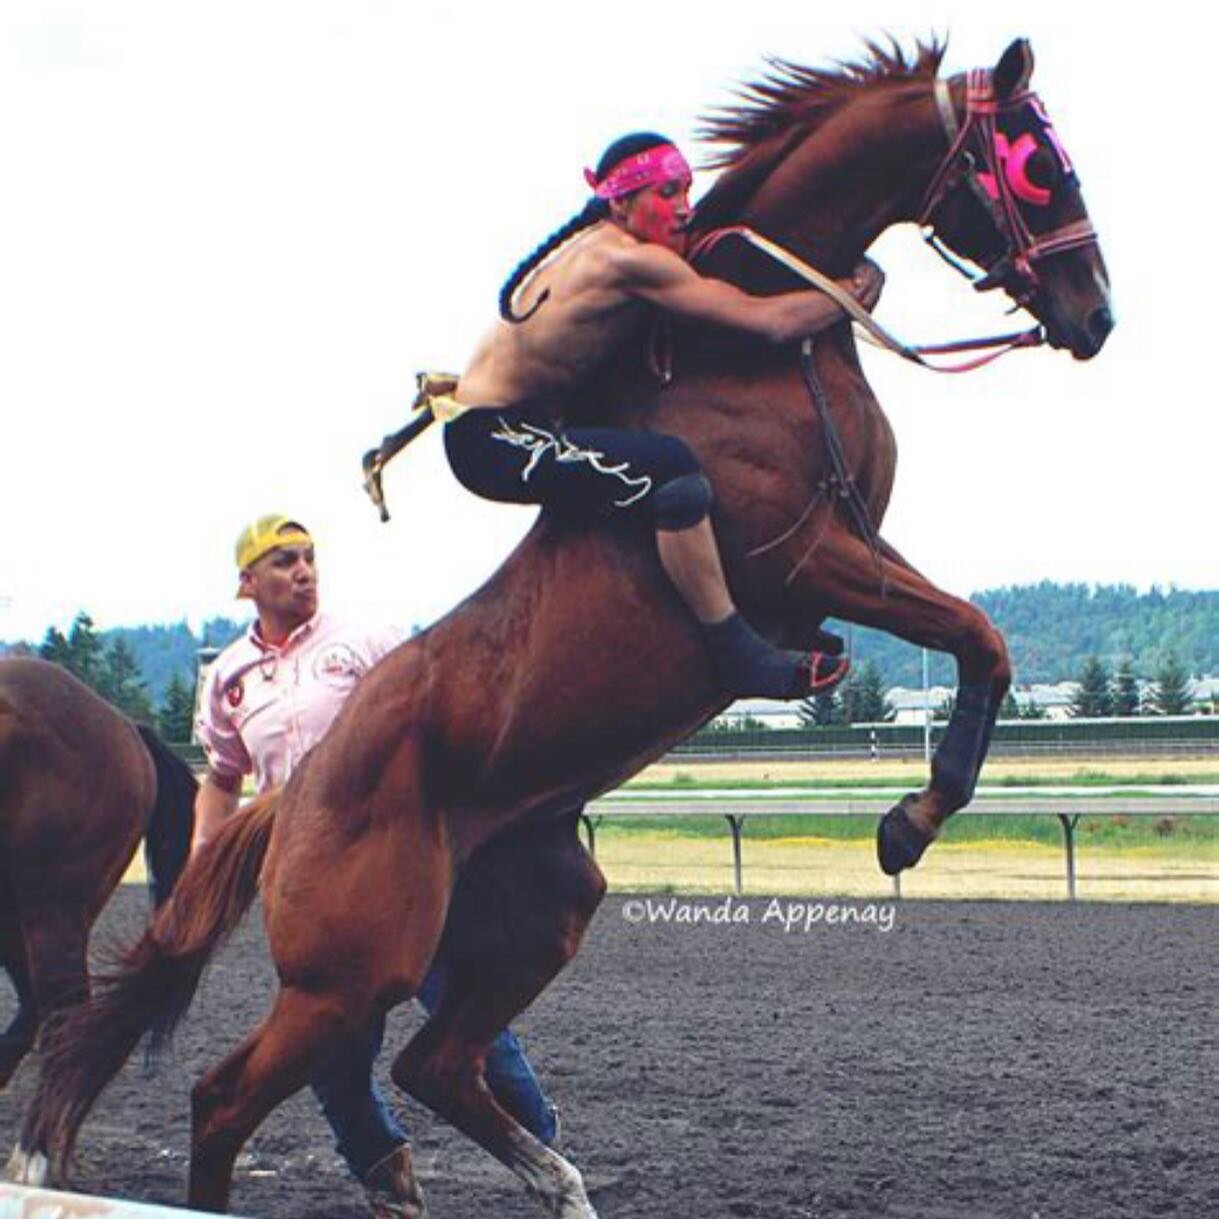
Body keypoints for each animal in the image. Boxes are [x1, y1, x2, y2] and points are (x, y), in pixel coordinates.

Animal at [16, 38, 1116, 1219]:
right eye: (1036, 162)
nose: (1094, 312)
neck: (750, 348)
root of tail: (291, 794)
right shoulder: (801, 563)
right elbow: (979, 638)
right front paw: (908, 821)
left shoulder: (857, 550)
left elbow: (978, 639)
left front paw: (910, 812)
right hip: (349, 968)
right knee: (232, 1094)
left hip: (540, 905)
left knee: (433, 1064)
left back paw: (562, 1183)